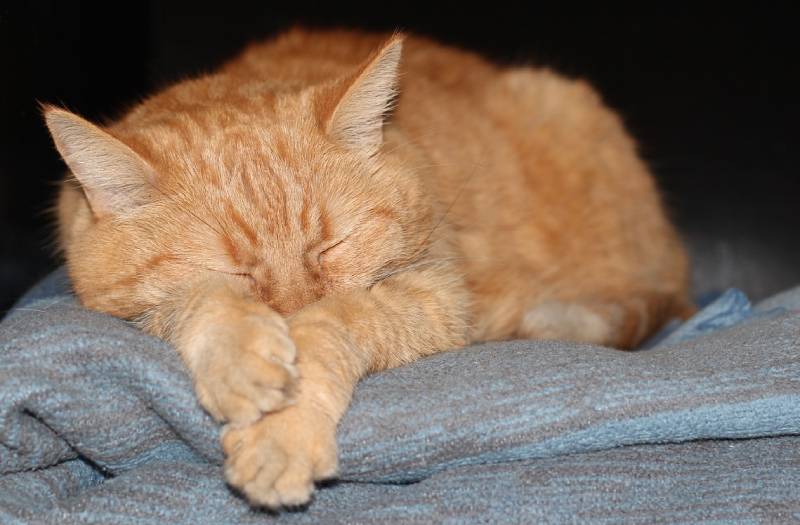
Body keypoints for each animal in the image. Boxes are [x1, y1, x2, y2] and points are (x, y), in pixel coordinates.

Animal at [43, 28, 692, 508]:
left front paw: (283, 431)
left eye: (333, 245)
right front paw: (242, 356)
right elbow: (193, 299)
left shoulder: (436, 295)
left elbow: (338, 319)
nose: (288, 314)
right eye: (238, 272)